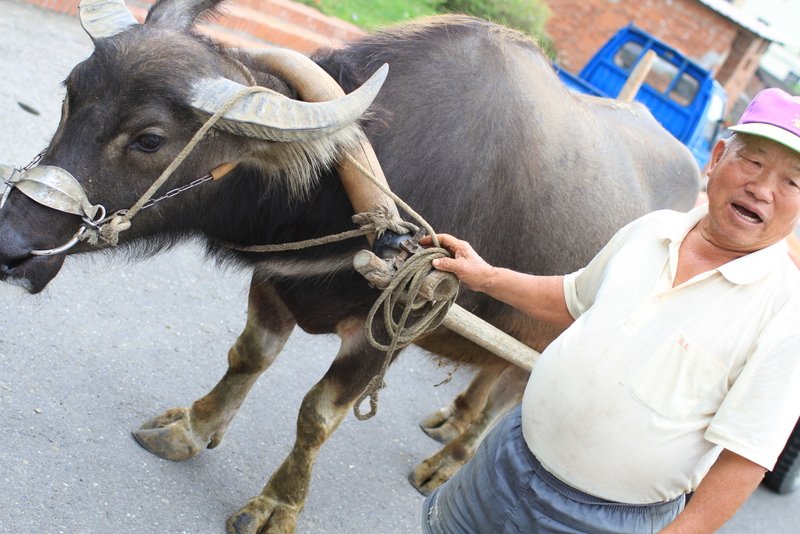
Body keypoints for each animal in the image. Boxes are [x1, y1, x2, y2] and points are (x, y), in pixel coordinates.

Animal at [0, 2, 700, 532]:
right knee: (492, 380)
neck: (346, 191)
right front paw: (192, 429)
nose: (12, 245)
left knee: (511, 397)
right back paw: (453, 417)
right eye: (70, 96)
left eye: (148, 139)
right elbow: (247, 357)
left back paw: (448, 462)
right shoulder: (276, 285)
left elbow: (317, 415)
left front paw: (275, 507)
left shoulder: (387, 326)